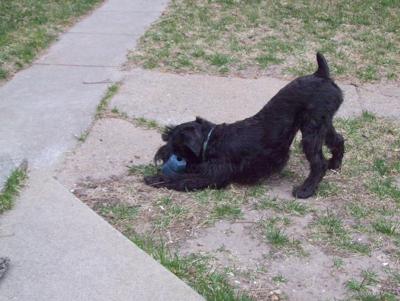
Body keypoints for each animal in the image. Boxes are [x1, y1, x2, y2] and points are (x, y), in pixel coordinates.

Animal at [145, 52, 346, 198]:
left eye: (173, 143)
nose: (160, 156)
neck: (211, 140)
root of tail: (321, 75)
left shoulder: (212, 175)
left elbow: (182, 179)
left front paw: (155, 178)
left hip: (311, 130)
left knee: (318, 163)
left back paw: (306, 190)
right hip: (323, 124)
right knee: (338, 139)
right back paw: (335, 164)